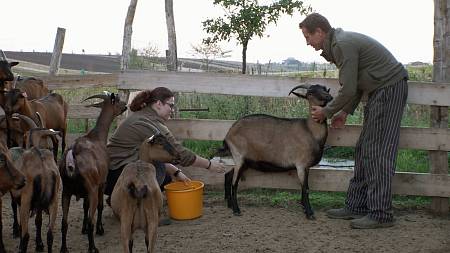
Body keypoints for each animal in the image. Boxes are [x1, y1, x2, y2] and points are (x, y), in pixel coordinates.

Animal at [58, 92, 126, 253]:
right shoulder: (101, 183)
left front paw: (82, 229)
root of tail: (73, 154)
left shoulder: (85, 192)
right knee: (91, 221)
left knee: (64, 222)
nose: (126, 106)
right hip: (92, 189)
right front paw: (100, 230)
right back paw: (93, 248)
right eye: (117, 100)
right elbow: (100, 207)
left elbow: (84, 207)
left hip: (66, 191)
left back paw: (64, 249)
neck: (97, 137)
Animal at [220, 84, 332, 218]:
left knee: (228, 175)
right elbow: (306, 188)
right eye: (309, 93)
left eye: (325, 88)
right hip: (239, 156)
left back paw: (229, 204)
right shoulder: (301, 165)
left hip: (246, 161)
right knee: (234, 183)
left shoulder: (306, 167)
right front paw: (309, 213)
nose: (329, 97)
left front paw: (305, 209)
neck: (310, 130)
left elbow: (304, 188)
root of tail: (228, 134)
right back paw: (236, 210)